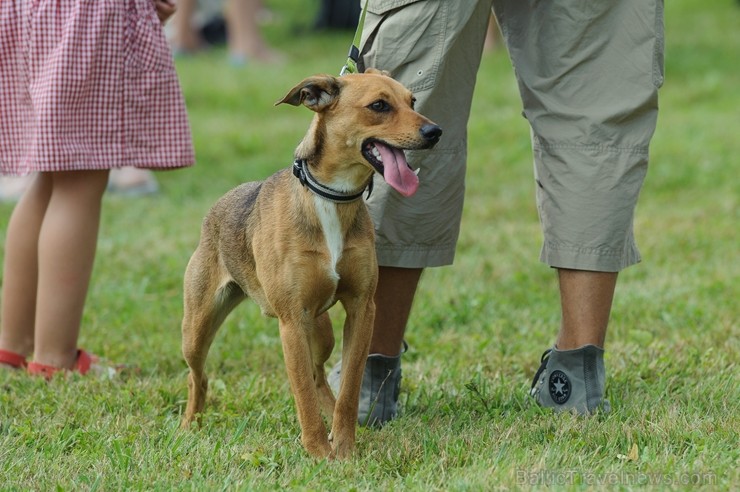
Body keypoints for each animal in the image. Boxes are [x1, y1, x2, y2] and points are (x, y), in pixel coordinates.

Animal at [180, 68, 442, 458]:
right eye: (379, 106)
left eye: (412, 101)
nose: (435, 132)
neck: (332, 197)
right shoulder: (291, 322)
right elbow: (302, 393)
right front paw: (319, 452)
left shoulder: (361, 309)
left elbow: (349, 388)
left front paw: (344, 447)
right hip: (197, 328)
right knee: (198, 376)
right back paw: (190, 423)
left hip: (321, 331)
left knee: (319, 375)